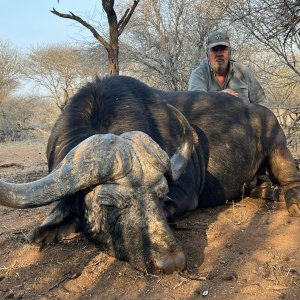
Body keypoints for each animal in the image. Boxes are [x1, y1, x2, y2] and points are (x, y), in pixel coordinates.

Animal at [0, 75, 300, 274]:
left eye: (160, 196)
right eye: (109, 204)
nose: (173, 263)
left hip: (278, 146)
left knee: (290, 178)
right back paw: (266, 190)